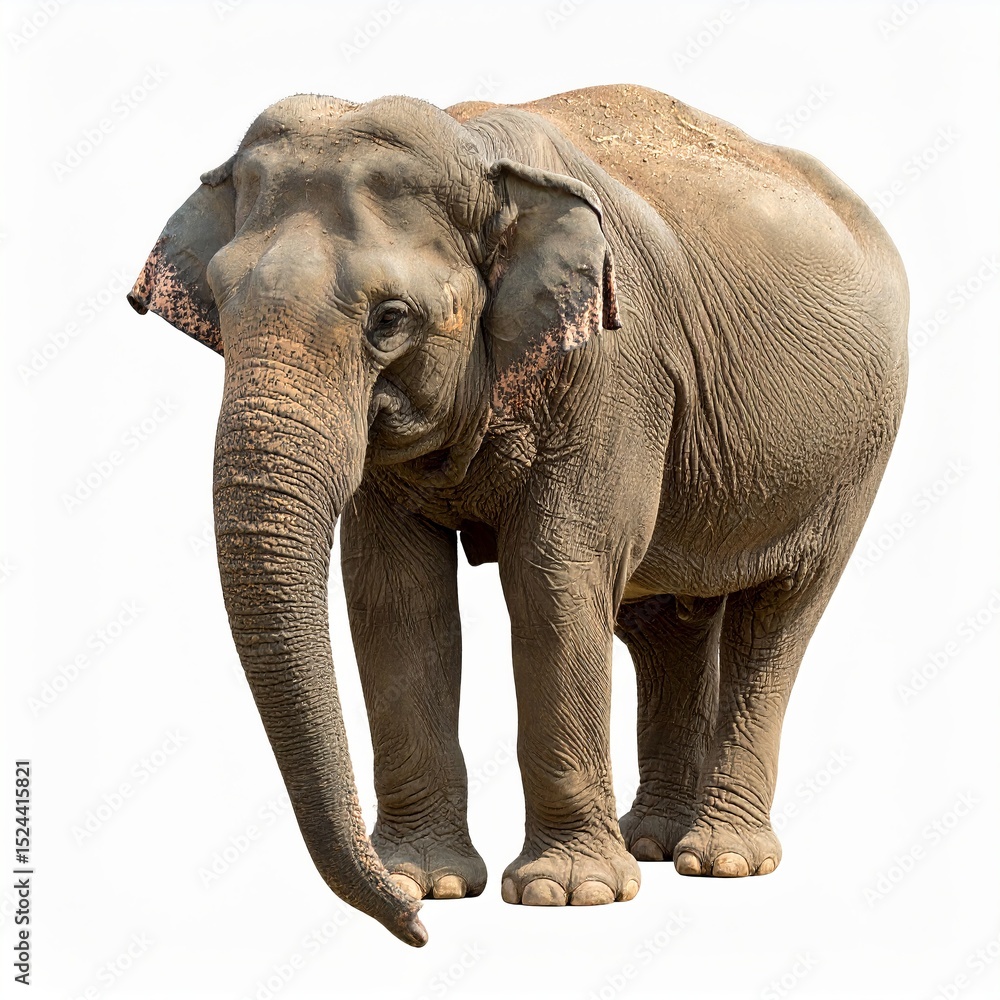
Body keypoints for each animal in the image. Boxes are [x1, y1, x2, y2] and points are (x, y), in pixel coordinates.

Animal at [128, 84, 907, 946]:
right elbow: (395, 595)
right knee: (665, 626)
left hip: (855, 454)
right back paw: (655, 843)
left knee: (778, 618)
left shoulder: (613, 370)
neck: (476, 152)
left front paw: (568, 895)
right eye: (222, 309)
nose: (413, 932)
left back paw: (721, 861)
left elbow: (554, 575)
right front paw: (426, 881)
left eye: (390, 318)